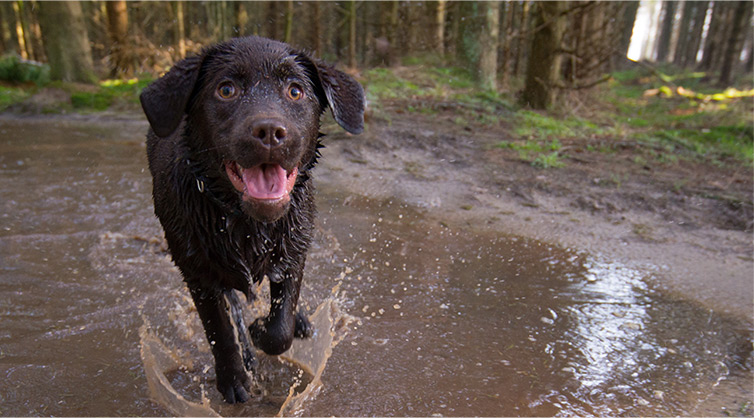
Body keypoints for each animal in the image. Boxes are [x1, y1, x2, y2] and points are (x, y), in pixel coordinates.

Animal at [141, 36, 368, 404]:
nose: (270, 131)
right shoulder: (197, 273)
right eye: (226, 90)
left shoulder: (294, 253)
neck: (246, 223)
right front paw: (234, 378)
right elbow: (220, 330)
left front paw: (264, 328)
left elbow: (280, 328)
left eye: (295, 91)